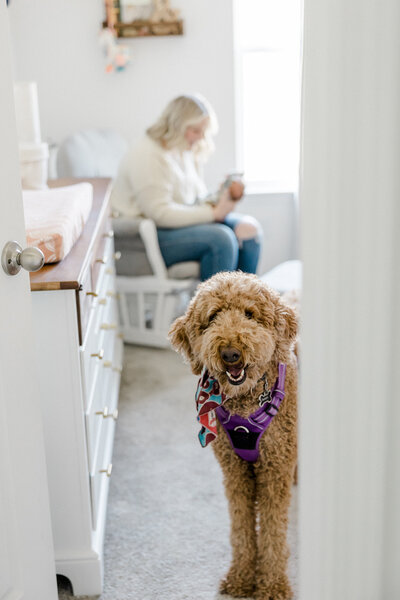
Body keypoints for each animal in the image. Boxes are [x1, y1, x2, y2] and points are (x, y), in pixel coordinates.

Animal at [168, 274, 296, 600]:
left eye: (250, 314)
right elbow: (241, 528)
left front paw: (272, 584)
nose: (230, 354)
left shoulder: (275, 470)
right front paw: (242, 577)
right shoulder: (235, 471)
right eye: (213, 317)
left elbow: (273, 532)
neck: (247, 402)